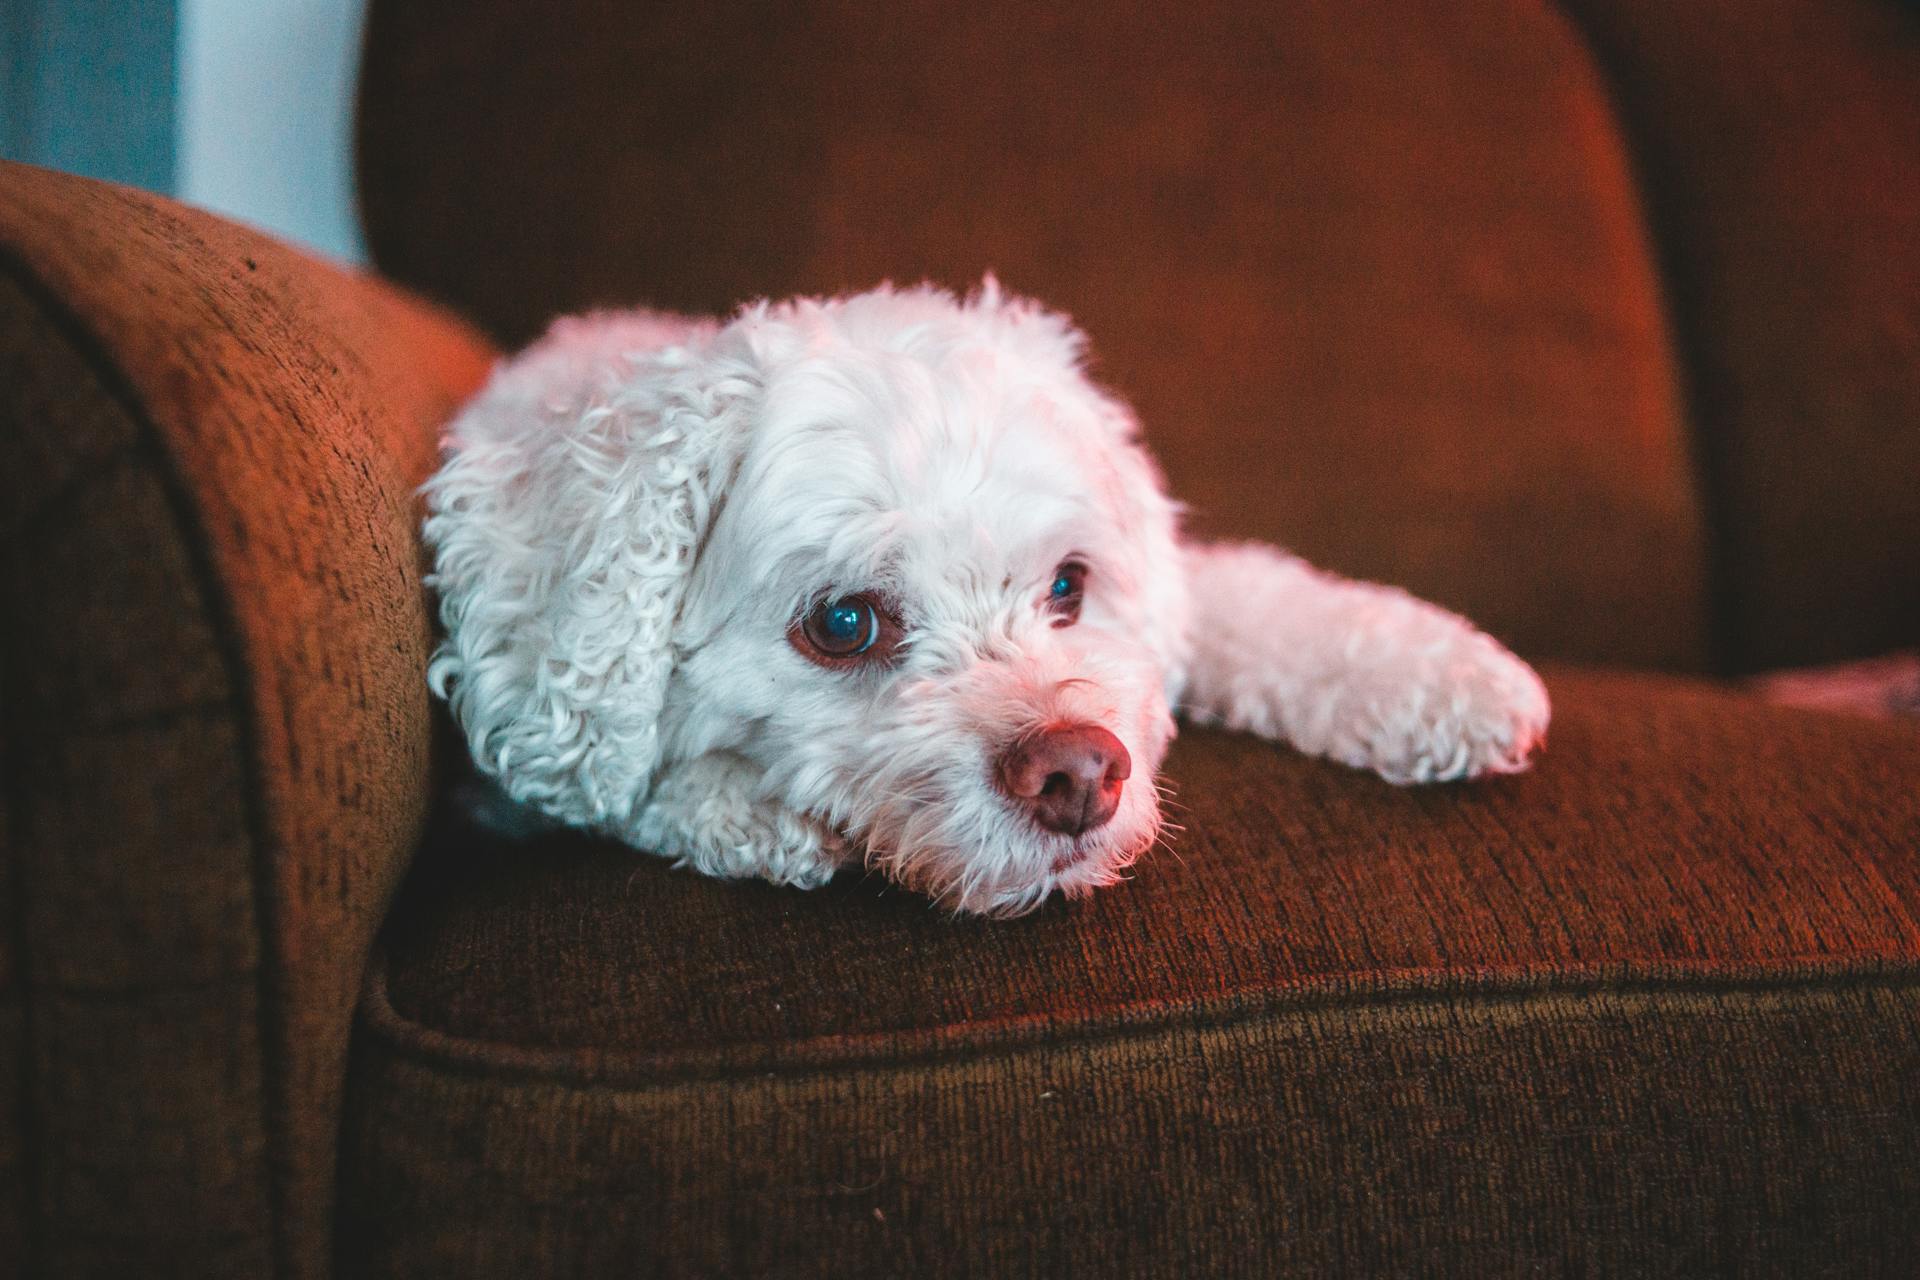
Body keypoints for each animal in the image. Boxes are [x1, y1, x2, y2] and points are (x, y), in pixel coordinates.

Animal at [420, 285, 1543, 917]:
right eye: (844, 624)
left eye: (1069, 585)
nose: (1081, 773)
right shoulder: (519, 748)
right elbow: (618, 786)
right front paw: (741, 811)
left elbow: (1249, 599)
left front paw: (1445, 675)